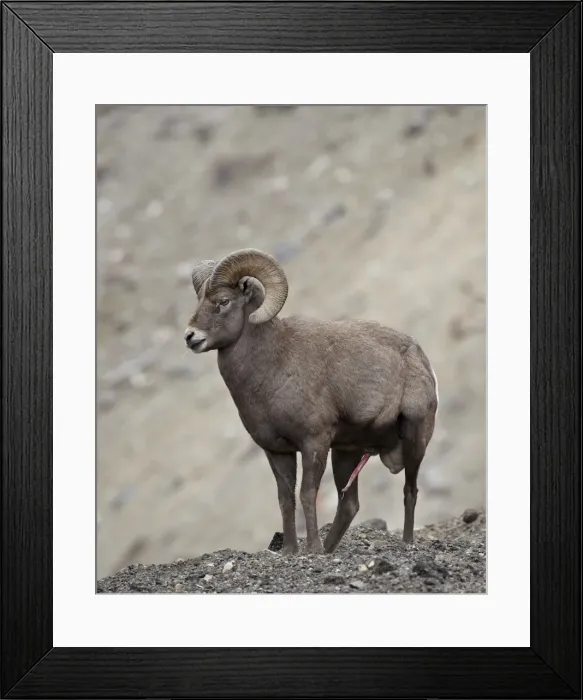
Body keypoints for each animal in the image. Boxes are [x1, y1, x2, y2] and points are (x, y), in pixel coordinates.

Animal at [184, 248, 438, 555]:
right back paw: (329, 550)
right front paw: (290, 551)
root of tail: (420, 358)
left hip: (414, 441)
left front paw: (311, 549)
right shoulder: (277, 452)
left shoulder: (314, 443)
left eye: (223, 301)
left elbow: (307, 493)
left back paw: (405, 543)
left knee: (409, 491)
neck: (273, 367)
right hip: (347, 453)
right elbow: (286, 499)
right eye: (200, 300)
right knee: (349, 505)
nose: (190, 337)